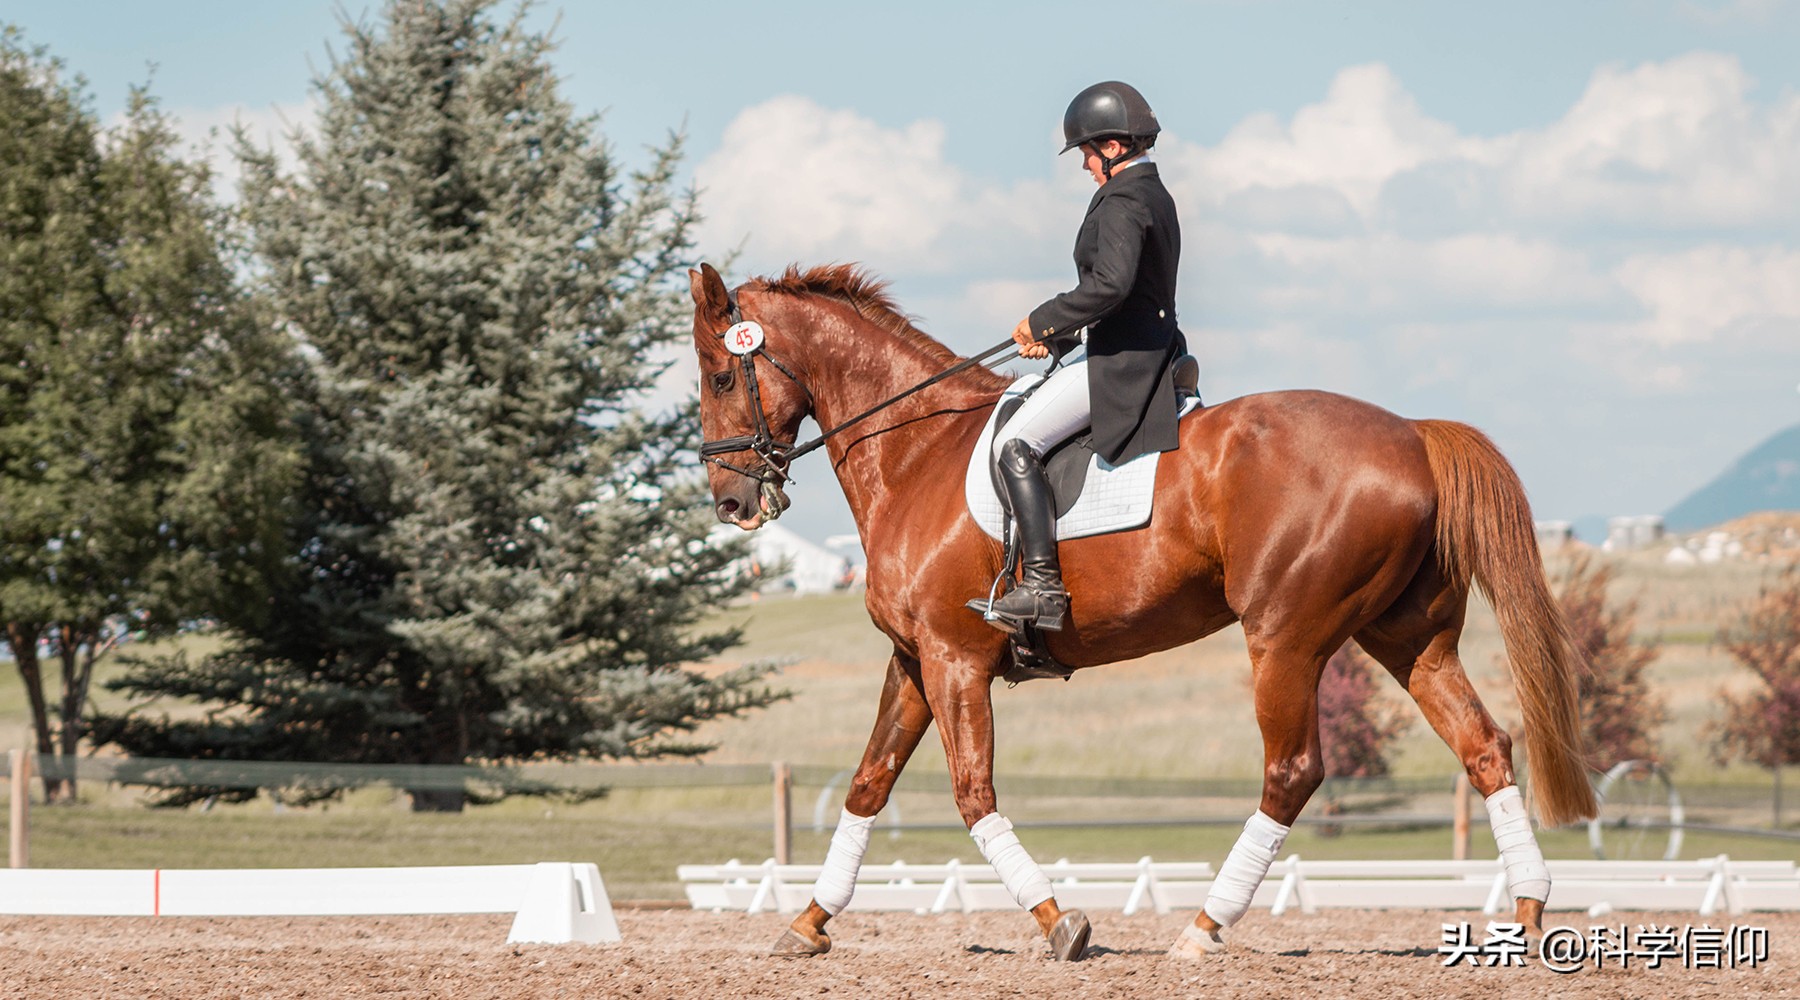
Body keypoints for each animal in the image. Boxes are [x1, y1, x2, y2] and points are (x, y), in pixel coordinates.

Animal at [691, 258, 1605, 964]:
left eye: (718, 373)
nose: (731, 503)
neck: (916, 450)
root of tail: (1413, 433)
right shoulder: (916, 660)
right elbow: (869, 783)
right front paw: (808, 924)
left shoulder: (955, 659)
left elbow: (972, 793)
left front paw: (1061, 924)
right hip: (1409, 639)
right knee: (1483, 746)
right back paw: (1528, 915)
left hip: (1286, 638)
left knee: (1291, 772)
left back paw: (1204, 928)